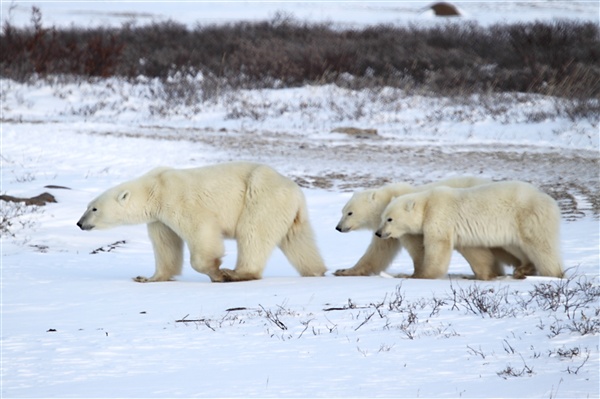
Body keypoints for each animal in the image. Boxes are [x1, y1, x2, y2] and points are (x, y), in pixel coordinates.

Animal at [78, 163, 328, 284]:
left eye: (94, 208)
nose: (80, 223)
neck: (155, 188)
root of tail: (296, 191)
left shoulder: (178, 199)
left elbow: (201, 232)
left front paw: (216, 272)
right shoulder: (159, 219)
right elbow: (166, 246)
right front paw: (147, 278)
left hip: (261, 197)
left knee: (253, 233)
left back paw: (236, 273)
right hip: (288, 212)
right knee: (298, 242)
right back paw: (316, 271)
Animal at [336, 177, 508, 280]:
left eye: (350, 212)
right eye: (342, 211)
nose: (338, 227)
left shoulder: (406, 224)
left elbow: (418, 248)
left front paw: (417, 274)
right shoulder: (387, 228)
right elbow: (379, 251)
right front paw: (344, 271)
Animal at [378, 180, 564, 278]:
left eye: (390, 219)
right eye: (382, 217)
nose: (378, 233)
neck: (427, 203)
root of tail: (550, 201)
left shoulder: (439, 217)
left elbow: (438, 247)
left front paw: (421, 275)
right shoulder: (463, 234)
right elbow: (475, 252)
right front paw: (487, 274)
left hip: (527, 218)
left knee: (540, 246)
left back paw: (553, 274)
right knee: (515, 246)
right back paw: (523, 268)